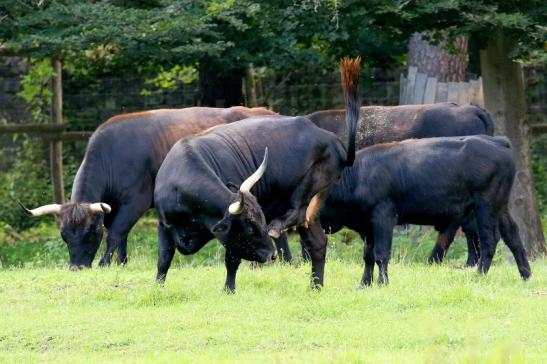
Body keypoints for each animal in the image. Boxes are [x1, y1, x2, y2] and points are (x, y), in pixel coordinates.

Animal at [21, 106, 278, 268]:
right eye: (64, 236)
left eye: (90, 233)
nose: (76, 267)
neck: (111, 155)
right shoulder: (113, 208)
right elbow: (121, 236)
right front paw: (121, 263)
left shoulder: (135, 202)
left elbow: (116, 233)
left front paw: (105, 264)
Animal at [322, 135, 532, 286]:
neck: (359, 176)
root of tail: (497, 141)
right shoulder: (368, 227)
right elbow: (368, 256)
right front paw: (364, 284)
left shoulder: (383, 217)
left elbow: (381, 253)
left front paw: (382, 283)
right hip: (500, 207)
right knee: (512, 235)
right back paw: (526, 275)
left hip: (485, 206)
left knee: (489, 239)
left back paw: (479, 276)